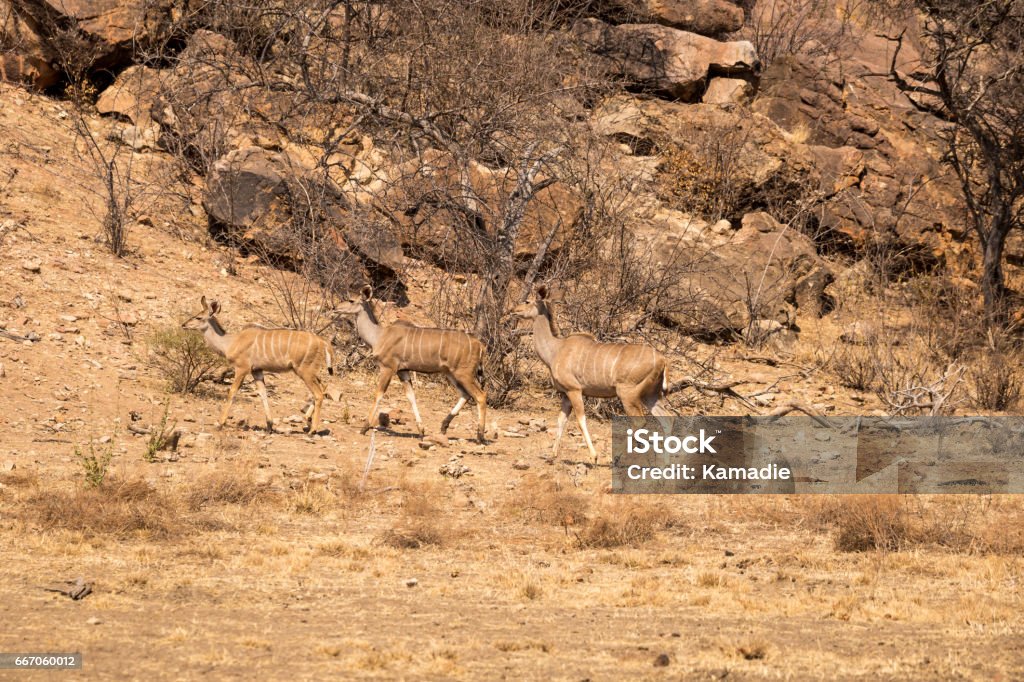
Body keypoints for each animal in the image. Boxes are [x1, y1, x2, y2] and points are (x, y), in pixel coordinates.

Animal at [180, 294, 331, 432]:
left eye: (198, 317)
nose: (183, 325)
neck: (231, 342)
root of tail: (322, 342)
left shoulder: (242, 368)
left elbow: (232, 392)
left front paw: (220, 423)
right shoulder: (256, 371)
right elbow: (263, 393)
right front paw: (269, 425)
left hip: (304, 371)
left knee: (318, 394)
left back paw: (312, 430)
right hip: (310, 372)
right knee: (323, 386)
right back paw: (308, 421)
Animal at [329, 284, 485, 440]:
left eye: (351, 300)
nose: (335, 308)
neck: (379, 336)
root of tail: (479, 344)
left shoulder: (388, 368)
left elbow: (379, 393)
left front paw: (364, 427)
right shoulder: (402, 371)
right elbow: (411, 397)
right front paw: (421, 430)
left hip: (463, 373)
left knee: (480, 395)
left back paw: (480, 436)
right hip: (451, 373)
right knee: (465, 394)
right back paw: (443, 427)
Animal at [512, 284, 671, 458]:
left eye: (527, 301)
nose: (513, 310)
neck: (555, 350)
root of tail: (662, 359)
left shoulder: (574, 390)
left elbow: (581, 421)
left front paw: (594, 456)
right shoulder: (565, 394)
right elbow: (561, 421)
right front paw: (552, 455)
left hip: (628, 394)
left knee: (640, 421)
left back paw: (618, 456)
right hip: (651, 395)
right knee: (668, 419)